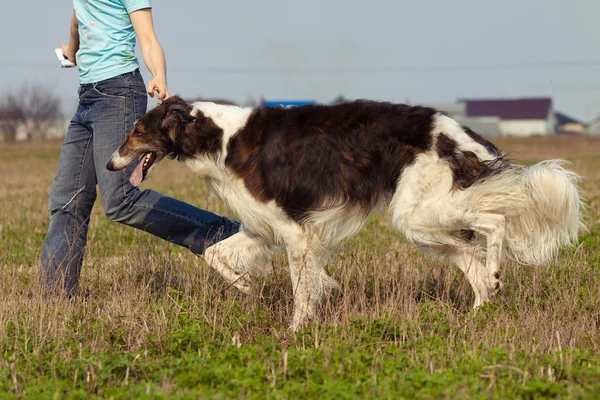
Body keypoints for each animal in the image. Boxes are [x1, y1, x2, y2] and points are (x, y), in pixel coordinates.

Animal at [105, 97, 584, 332]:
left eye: (136, 131)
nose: (109, 164)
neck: (220, 136)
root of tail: (456, 130)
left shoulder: (294, 231)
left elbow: (302, 290)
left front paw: (296, 332)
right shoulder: (265, 226)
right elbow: (215, 254)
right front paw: (246, 287)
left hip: (422, 212)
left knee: (495, 222)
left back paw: (497, 276)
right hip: (426, 224)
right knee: (474, 263)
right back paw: (479, 312)